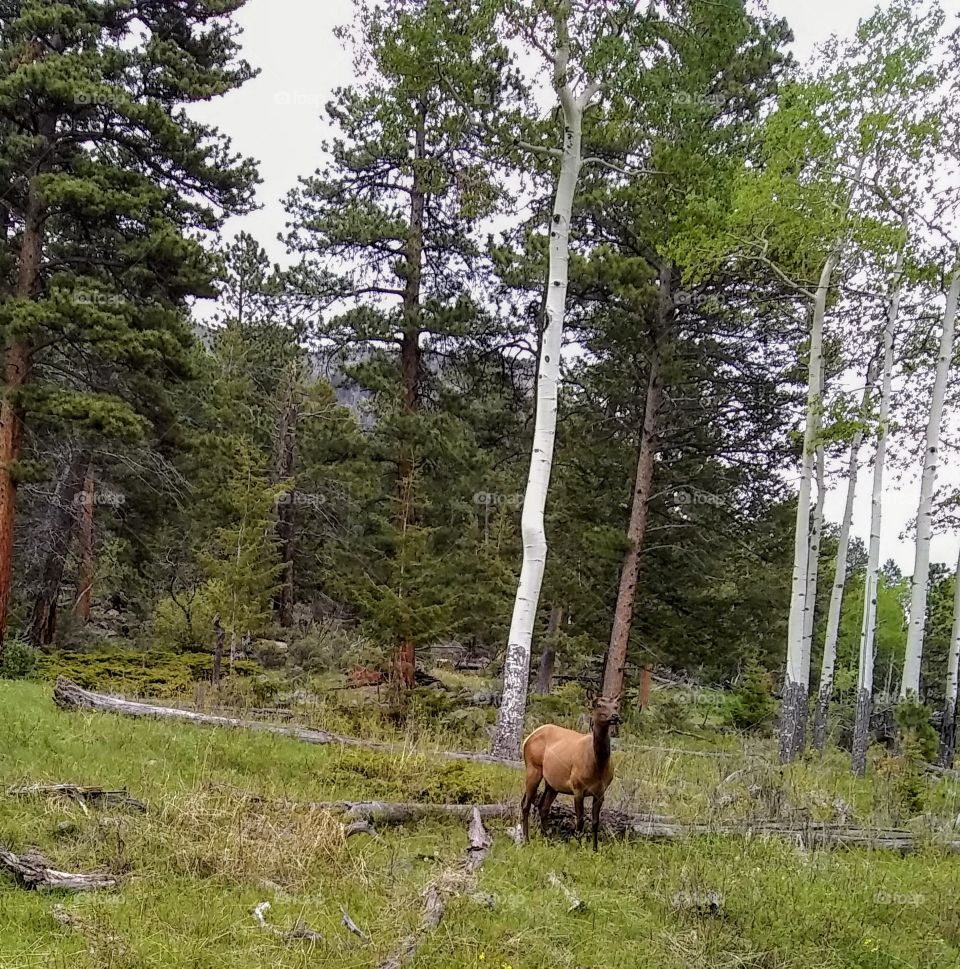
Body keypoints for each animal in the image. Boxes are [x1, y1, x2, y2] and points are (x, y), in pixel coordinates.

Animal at [520, 696, 620, 850]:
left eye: (616, 706)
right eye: (599, 705)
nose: (615, 716)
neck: (598, 766)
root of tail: (527, 738)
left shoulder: (601, 792)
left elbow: (595, 822)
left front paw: (595, 849)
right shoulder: (577, 787)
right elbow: (580, 821)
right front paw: (578, 847)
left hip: (553, 783)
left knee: (543, 807)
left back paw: (548, 840)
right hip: (533, 768)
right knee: (526, 804)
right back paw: (526, 840)